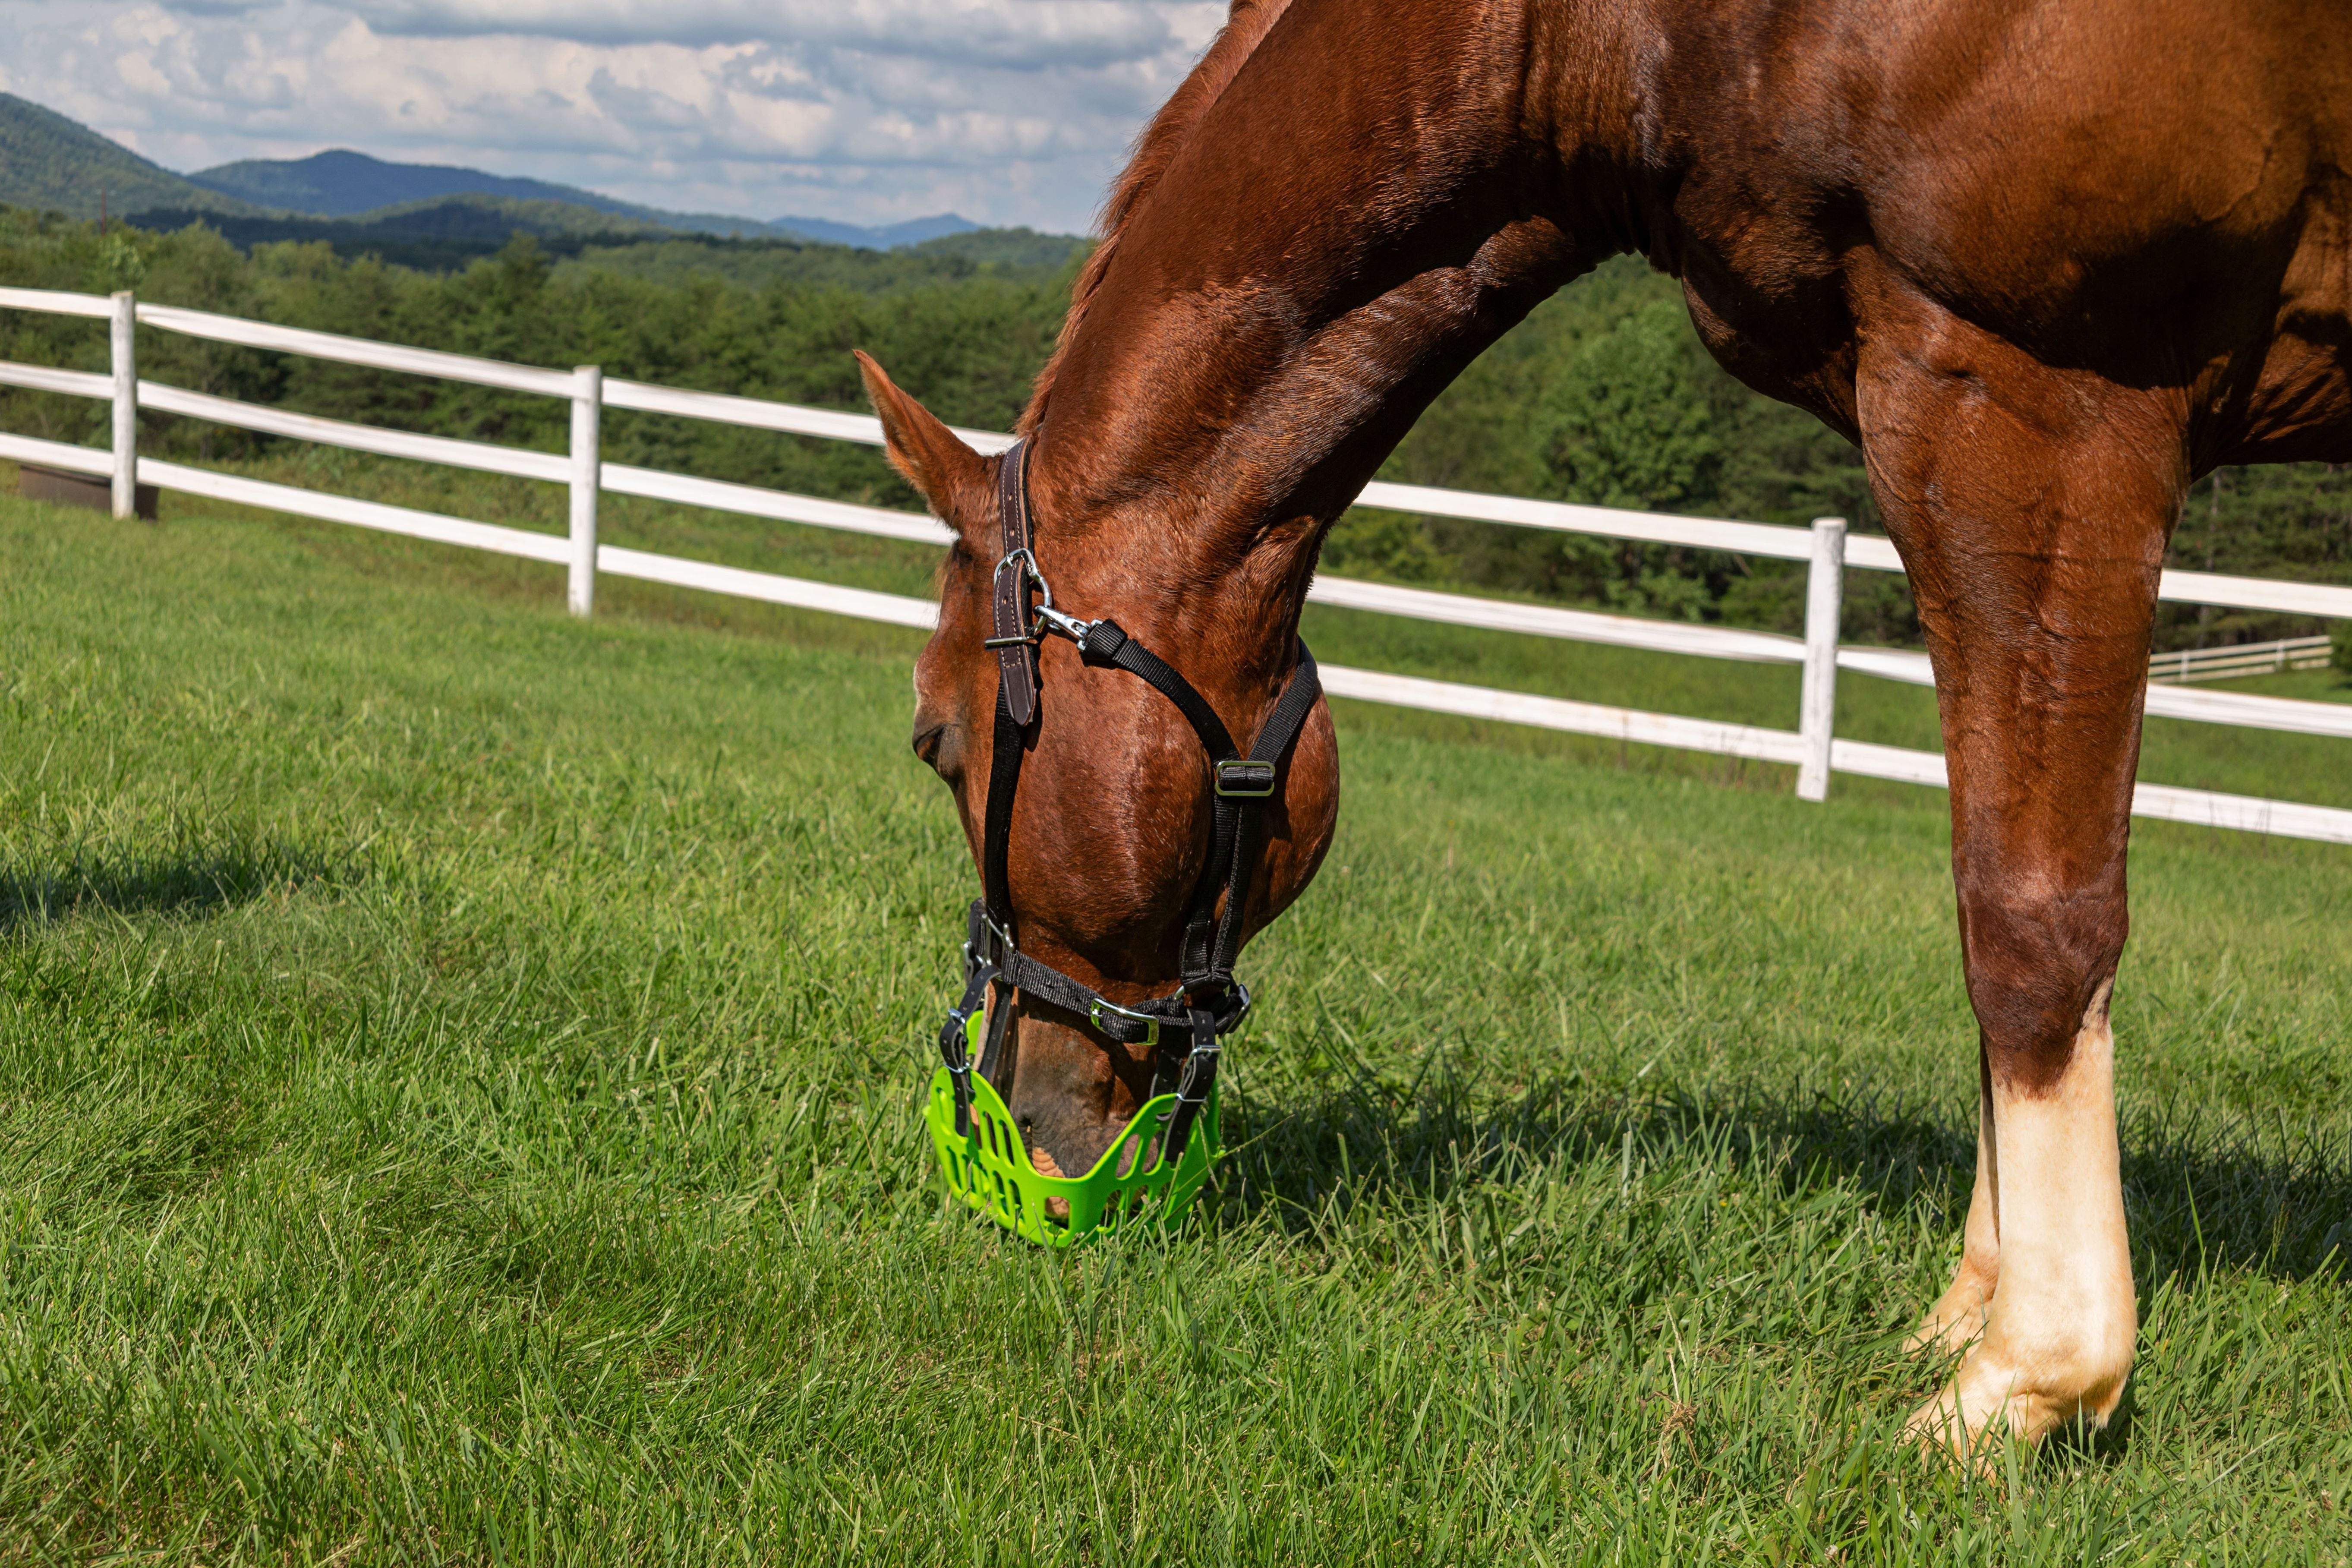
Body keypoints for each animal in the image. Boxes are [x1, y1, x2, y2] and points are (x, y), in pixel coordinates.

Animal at [861, 0, 2352, 1458]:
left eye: (936, 739)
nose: (1014, 1117)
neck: (1630, 29)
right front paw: (1968, 1312)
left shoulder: (2036, 395)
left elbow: (2031, 921)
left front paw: (2029, 1375)